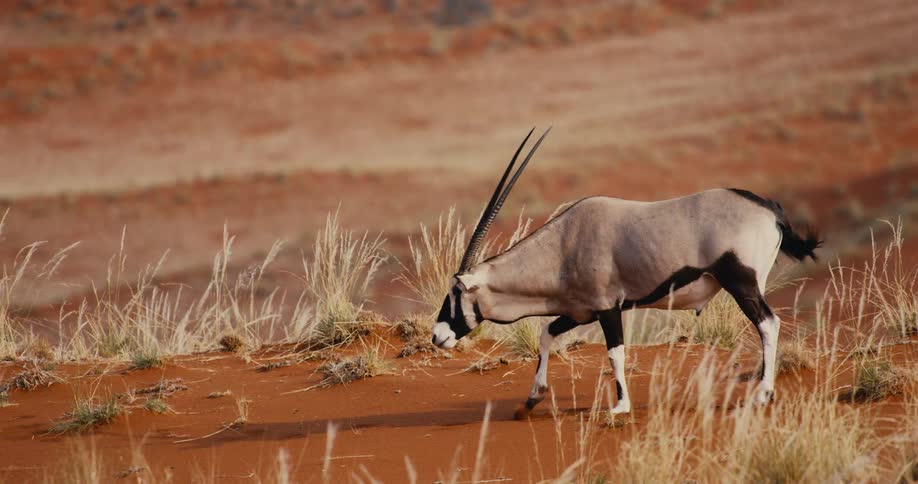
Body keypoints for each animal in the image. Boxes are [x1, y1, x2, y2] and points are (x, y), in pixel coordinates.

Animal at [431, 128, 821, 417]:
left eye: (455, 293)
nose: (437, 336)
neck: (563, 246)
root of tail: (769, 208)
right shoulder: (579, 311)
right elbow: (546, 333)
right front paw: (531, 399)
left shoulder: (608, 308)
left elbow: (615, 353)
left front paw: (620, 406)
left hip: (742, 283)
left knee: (767, 324)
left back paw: (763, 394)